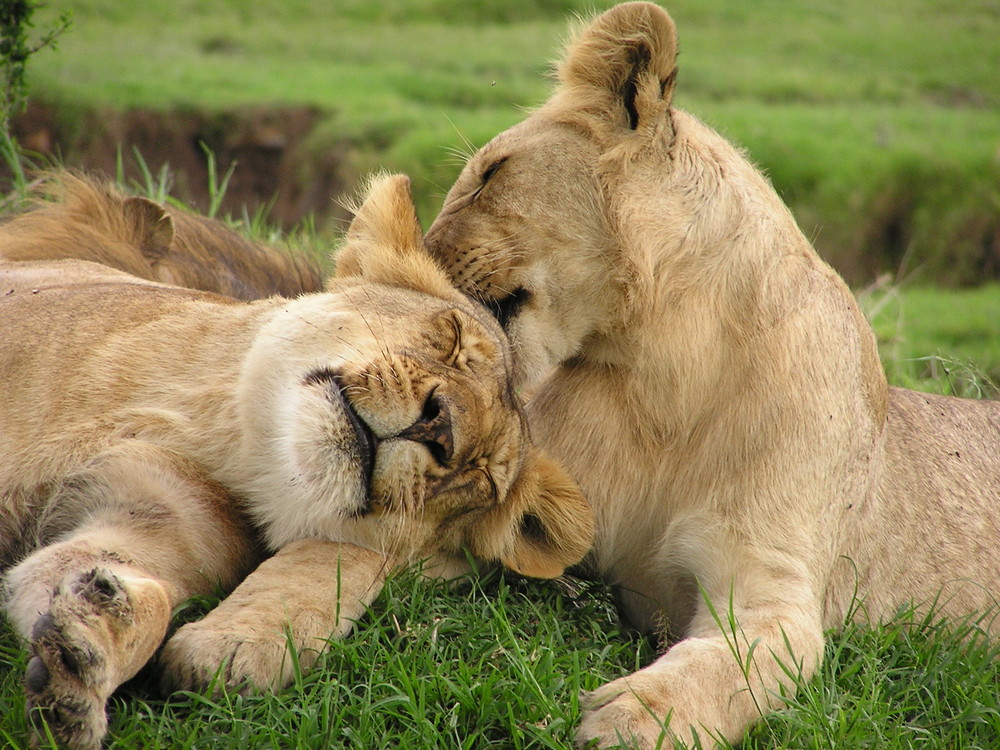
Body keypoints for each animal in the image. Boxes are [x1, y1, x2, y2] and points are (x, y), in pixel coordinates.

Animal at [0, 173, 592, 748]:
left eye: (478, 475)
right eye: (452, 338)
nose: (441, 429)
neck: (215, 428)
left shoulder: (159, 510)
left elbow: (99, 580)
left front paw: (82, 657)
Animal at [424, 2, 1000, 748]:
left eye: (490, 173)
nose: (418, 259)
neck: (658, 374)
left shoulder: (769, 585)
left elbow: (725, 666)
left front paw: (635, 718)